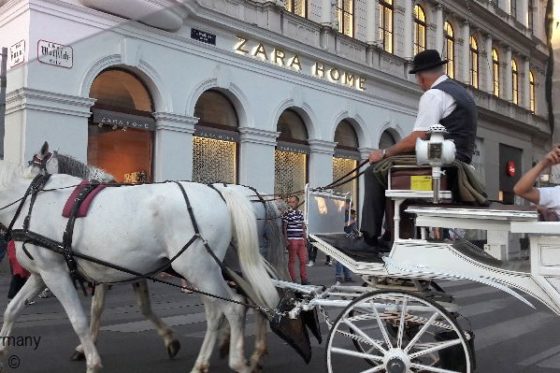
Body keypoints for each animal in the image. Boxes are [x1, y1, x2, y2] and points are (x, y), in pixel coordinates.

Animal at [0, 153, 278, 370]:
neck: (33, 202)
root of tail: (223, 193)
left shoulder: (57, 273)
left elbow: (81, 318)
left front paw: (91, 359)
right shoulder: (42, 275)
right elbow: (12, 309)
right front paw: (2, 351)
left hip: (199, 269)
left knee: (231, 308)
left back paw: (236, 360)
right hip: (219, 267)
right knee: (244, 303)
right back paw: (234, 355)